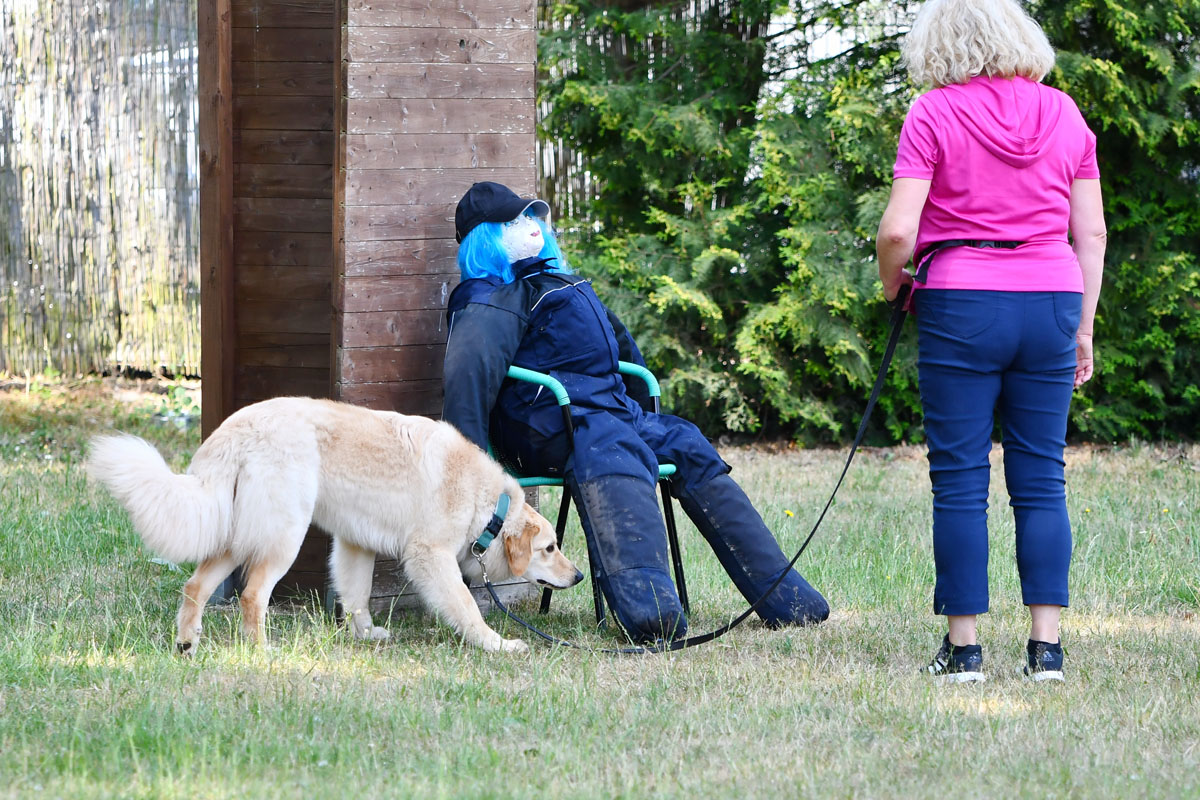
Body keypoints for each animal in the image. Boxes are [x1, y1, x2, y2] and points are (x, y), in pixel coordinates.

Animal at [87, 398, 583, 652]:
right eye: (550, 548)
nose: (578, 576)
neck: (490, 505)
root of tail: (236, 429)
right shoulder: (430, 556)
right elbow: (465, 607)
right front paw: (496, 644)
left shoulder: (354, 546)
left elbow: (357, 597)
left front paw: (365, 636)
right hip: (283, 537)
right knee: (252, 595)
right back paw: (261, 653)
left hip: (237, 537)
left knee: (195, 587)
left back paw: (188, 645)